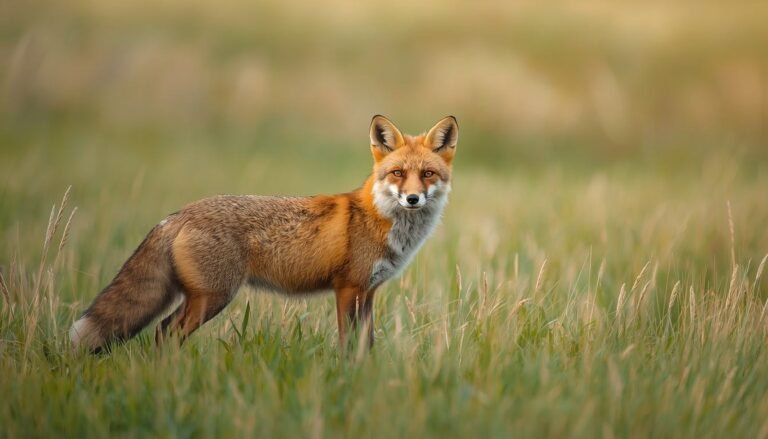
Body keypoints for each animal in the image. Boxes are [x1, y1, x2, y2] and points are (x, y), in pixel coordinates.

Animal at [69, 115, 459, 352]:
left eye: (427, 174)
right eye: (397, 173)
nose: (412, 199)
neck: (380, 220)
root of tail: (178, 214)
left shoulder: (369, 292)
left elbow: (367, 345)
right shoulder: (348, 289)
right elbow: (347, 345)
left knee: (163, 332)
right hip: (213, 297)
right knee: (166, 332)